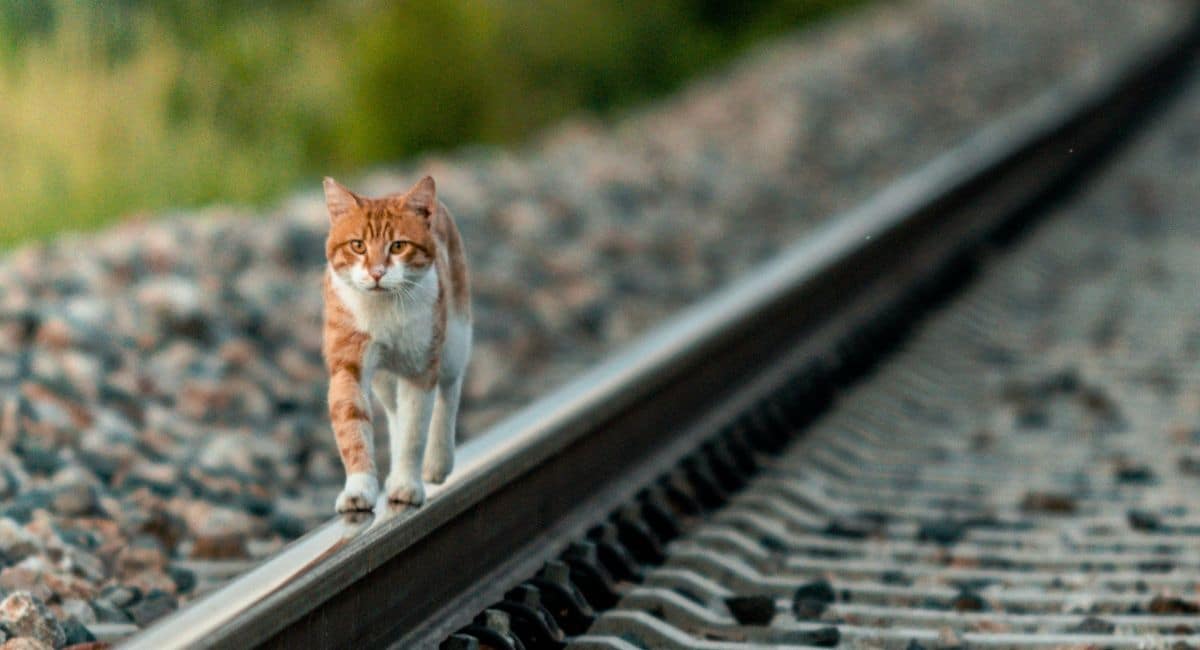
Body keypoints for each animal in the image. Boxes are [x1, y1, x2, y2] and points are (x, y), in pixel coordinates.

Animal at [321, 176, 470, 513]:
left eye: (399, 246)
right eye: (357, 245)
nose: (377, 273)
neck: (384, 310)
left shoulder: (420, 370)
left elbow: (414, 433)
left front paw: (406, 484)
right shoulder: (348, 365)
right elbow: (352, 424)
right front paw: (359, 489)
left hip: (454, 339)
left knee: (449, 391)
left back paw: (438, 462)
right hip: (385, 380)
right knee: (393, 413)